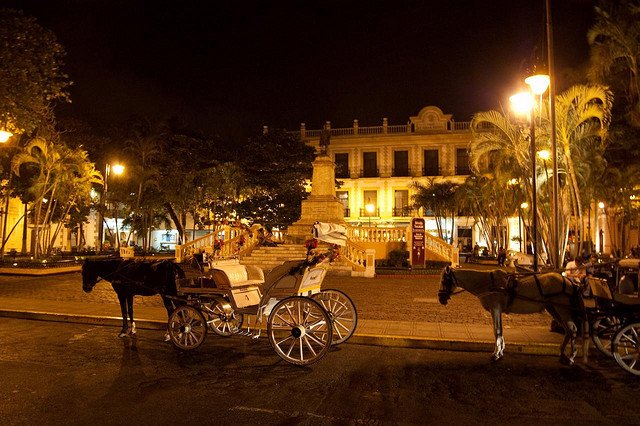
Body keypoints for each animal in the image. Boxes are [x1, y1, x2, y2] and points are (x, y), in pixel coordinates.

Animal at [438, 266, 584, 362]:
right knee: (567, 330)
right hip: (553, 309)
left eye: (444, 281)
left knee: (572, 329)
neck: (488, 283)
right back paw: (562, 353)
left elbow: (496, 331)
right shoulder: (497, 310)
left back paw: (571, 356)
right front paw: (501, 351)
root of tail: (569, 282)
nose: (441, 298)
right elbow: (500, 331)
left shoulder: (495, 308)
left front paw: (496, 354)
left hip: (562, 310)